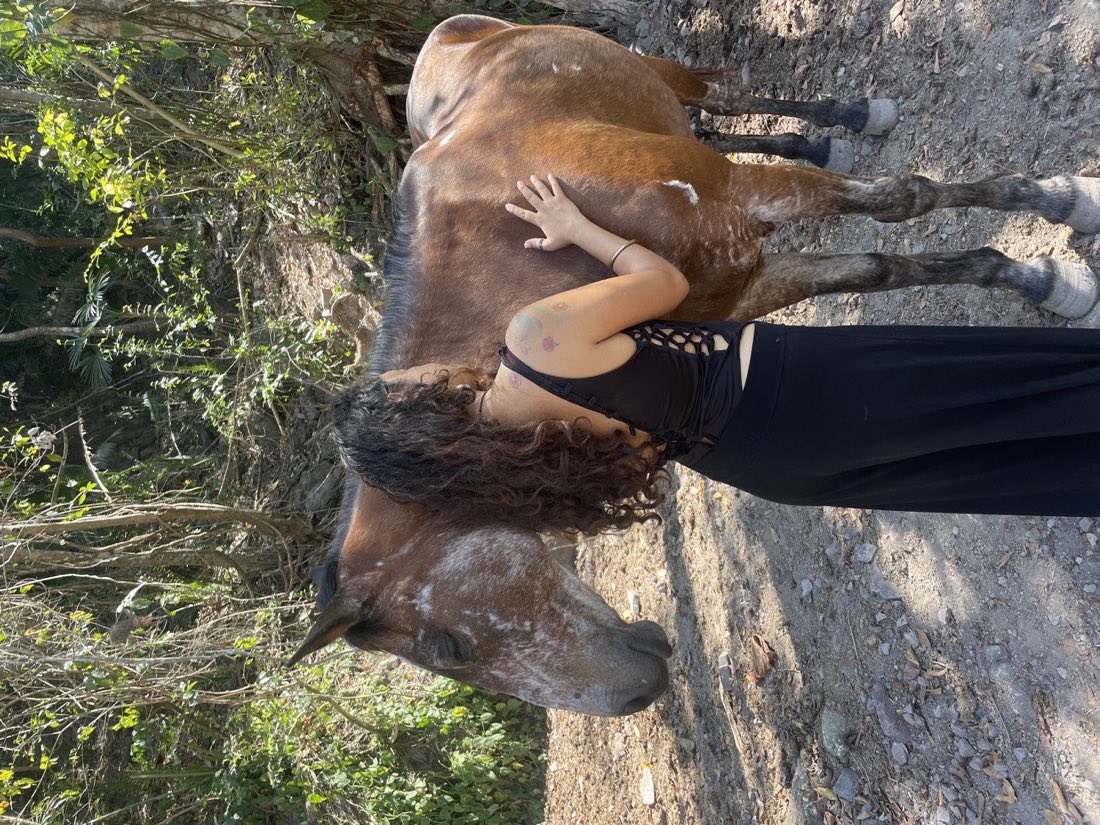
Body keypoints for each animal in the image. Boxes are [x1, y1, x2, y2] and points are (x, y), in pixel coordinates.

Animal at [288, 14, 1100, 716]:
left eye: (450, 645)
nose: (634, 697)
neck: (517, 244)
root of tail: (446, 36)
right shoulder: (739, 280)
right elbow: (875, 267)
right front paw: (1026, 271)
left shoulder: (741, 195)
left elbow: (907, 199)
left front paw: (1056, 225)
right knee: (721, 108)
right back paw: (824, 137)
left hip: (655, 72)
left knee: (722, 92)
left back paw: (851, 116)